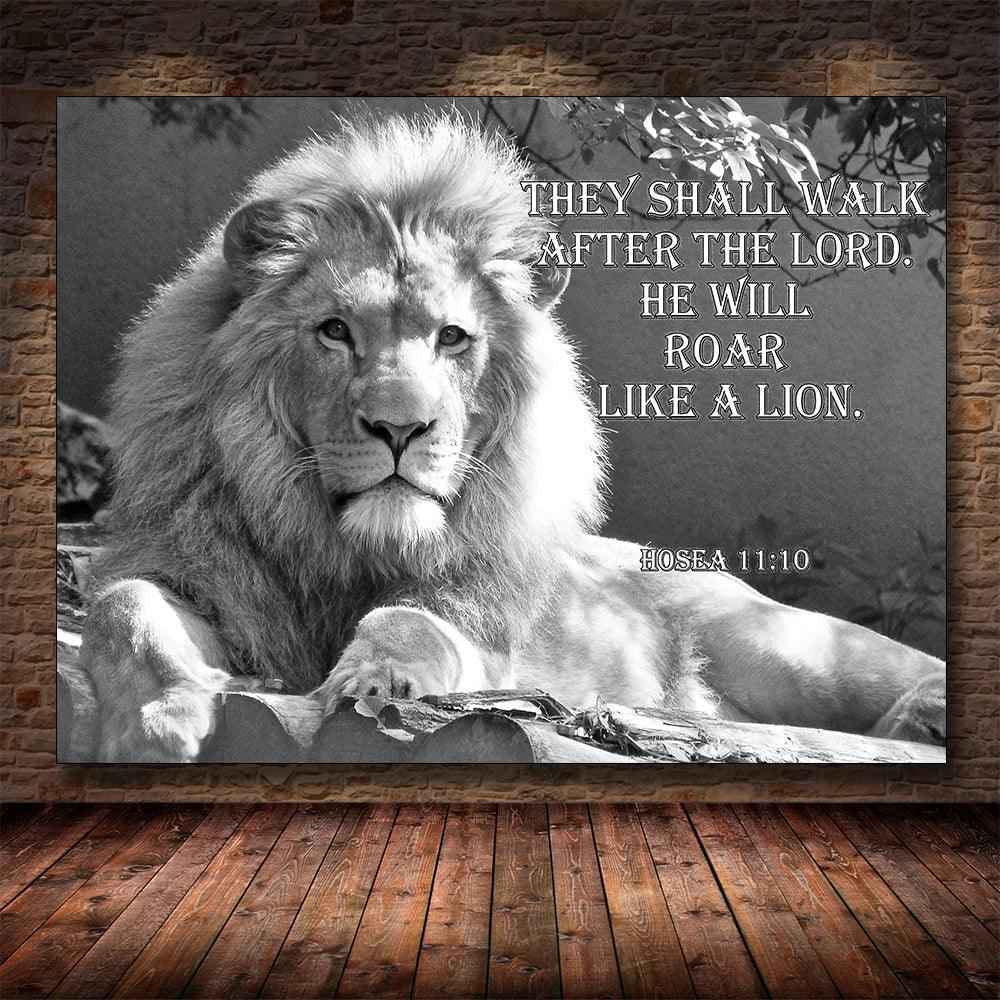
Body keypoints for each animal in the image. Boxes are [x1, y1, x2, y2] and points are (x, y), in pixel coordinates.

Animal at [78, 112, 946, 762]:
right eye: (334, 331)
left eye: (453, 338)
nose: (401, 426)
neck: (346, 552)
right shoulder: (202, 576)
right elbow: (123, 607)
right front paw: (159, 722)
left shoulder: (483, 631)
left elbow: (410, 624)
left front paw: (375, 682)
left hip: (779, 641)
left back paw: (923, 713)